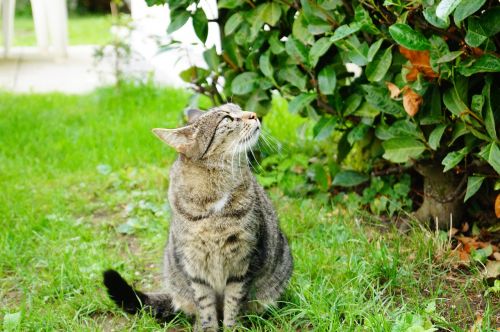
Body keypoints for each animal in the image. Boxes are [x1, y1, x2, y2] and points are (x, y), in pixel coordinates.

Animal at [104, 103, 292, 330]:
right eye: (227, 118)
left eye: (239, 108)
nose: (254, 114)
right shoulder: (195, 268)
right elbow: (206, 308)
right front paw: (208, 327)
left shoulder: (244, 263)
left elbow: (233, 306)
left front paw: (232, 328)